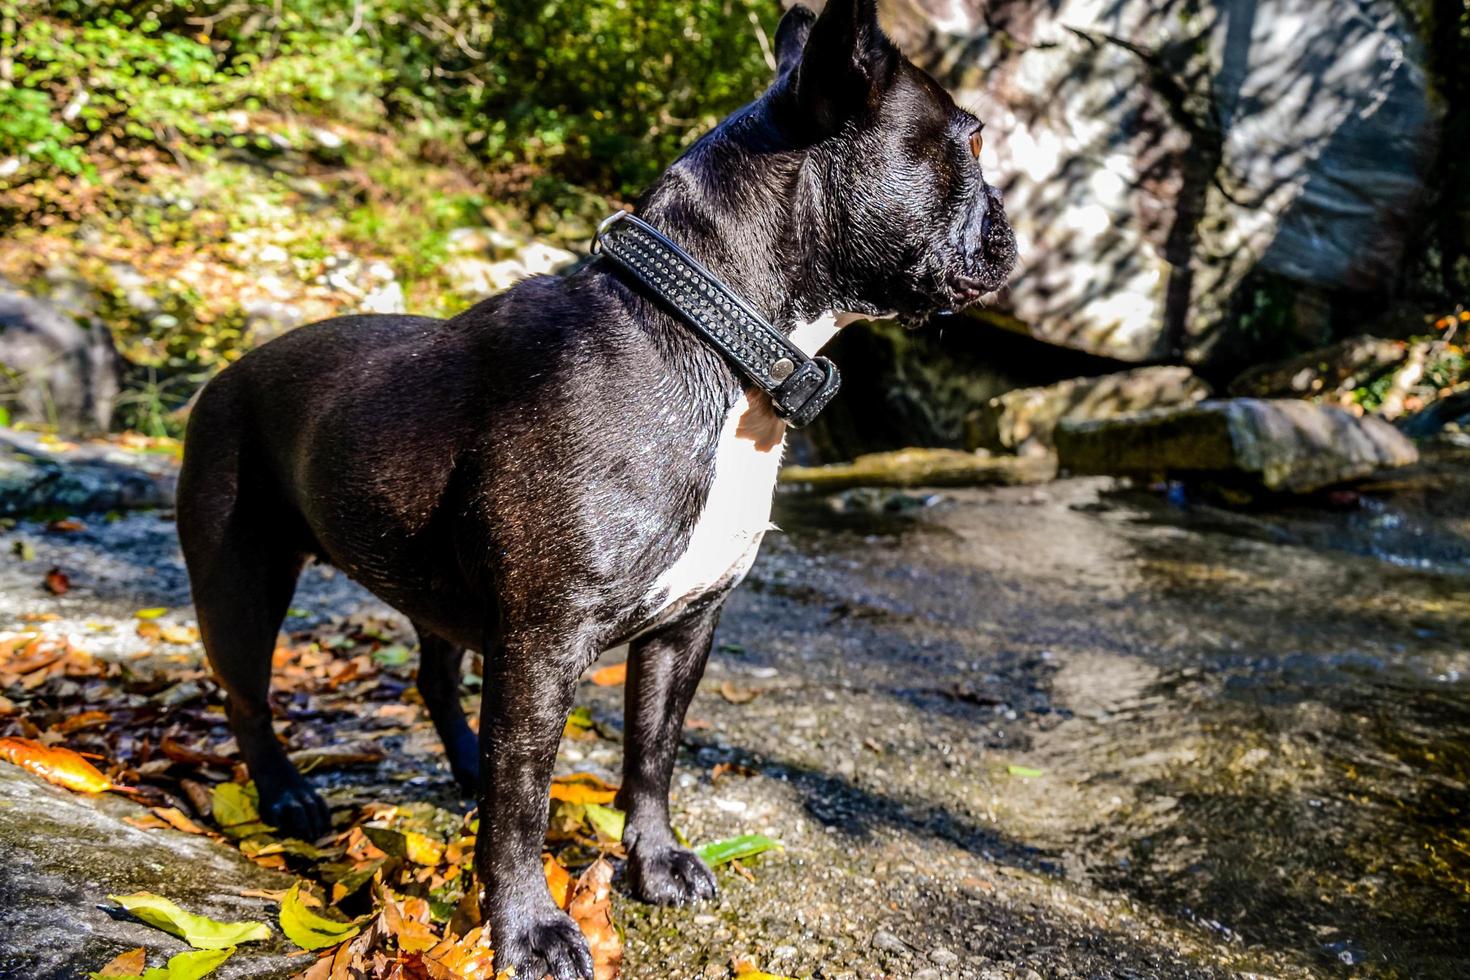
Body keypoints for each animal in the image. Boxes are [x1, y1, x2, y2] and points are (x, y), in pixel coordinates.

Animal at [174, 0, 1011, 975]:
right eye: (974, 141)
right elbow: (524, 800)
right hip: (241, 578)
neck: (719, 338)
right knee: (246, 693)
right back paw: (284, 794)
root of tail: (227, 372)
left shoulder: (683, 630)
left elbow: (652, 753)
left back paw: (463, 760)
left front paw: (654, 862)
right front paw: (530, 928)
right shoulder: (544, 642)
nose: (1005, 216)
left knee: (435, 674)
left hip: (434, 591)